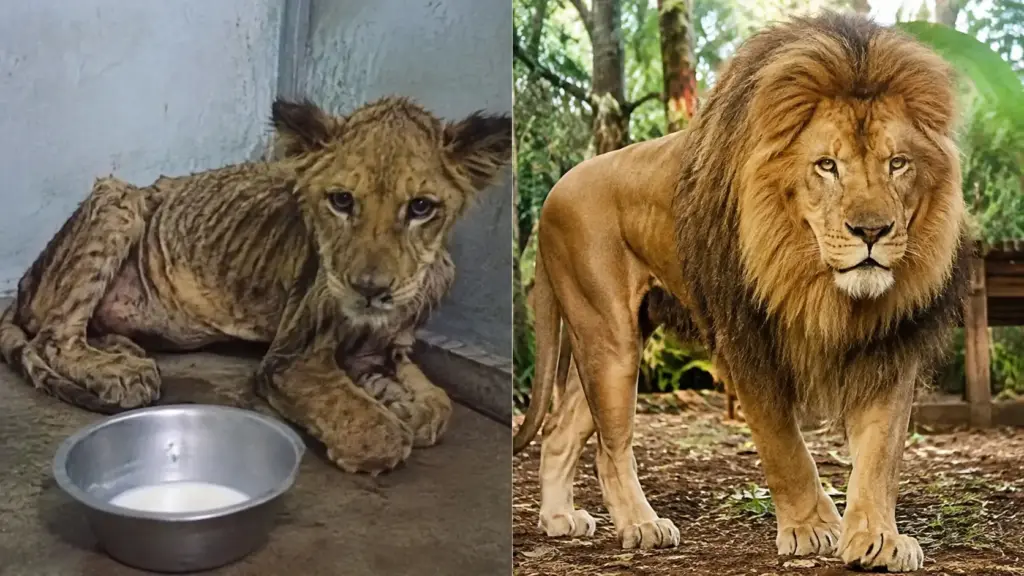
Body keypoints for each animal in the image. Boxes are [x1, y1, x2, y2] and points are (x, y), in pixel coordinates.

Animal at [0, 96, 512, 476]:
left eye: (421, 207)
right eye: (341, 201)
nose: (369, 289)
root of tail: (27, 280)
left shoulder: (379, 351)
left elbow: (439, 404)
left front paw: (409, 406)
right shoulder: (292, 357)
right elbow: (376, 430)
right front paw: (385, 426)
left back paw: (127, 355)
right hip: (118, 199)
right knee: (54, 337)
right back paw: (120, 374)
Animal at [513, 12, 968, 572]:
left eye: (897, 163)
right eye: (827, 165)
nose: (871, 232)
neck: (819, 284)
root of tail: (553, 194)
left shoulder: (890, 344)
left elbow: (881, 454)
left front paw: (876, 537)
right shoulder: (748, 339)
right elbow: (783, 446)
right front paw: (810, 527)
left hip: (606, 340)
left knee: (560, 430)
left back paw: (559, 518)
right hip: (609, 339)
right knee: (610, 448)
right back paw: (642, 525)